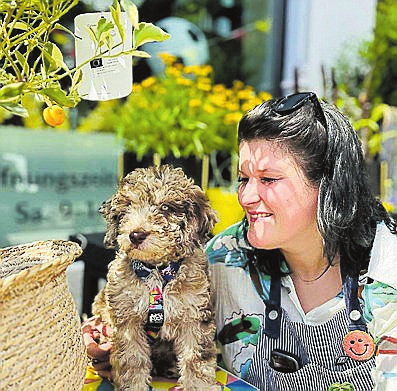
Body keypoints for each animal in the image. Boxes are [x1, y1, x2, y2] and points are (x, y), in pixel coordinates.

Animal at [93, 165, 220, 391]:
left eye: (166, 208)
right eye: (128, 208)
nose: (136, 235)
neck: (156, 271)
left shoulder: (194, 317)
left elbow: (196, 359)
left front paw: (199, 385)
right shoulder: (127, 321)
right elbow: (132, 360)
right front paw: (133, 386)